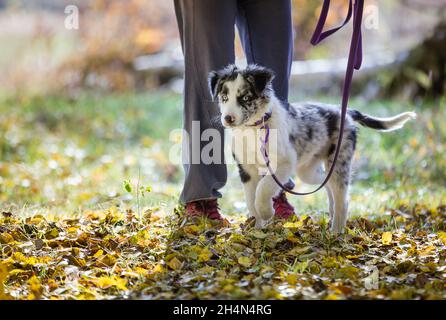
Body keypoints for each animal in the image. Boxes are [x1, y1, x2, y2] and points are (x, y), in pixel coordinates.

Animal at [209, 63, 414, 234]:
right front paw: (258, 228)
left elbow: (264, 188)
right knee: (327, 183)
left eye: (245, 98)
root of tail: (345, 112)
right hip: (307, 170)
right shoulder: (246, 169)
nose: (228, 119)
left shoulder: (284, 163)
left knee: (343, 198)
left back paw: (336, 232)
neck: (254, 128)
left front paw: (266, 212)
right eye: (224, 98)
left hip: (339, 161)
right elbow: (251, 199)